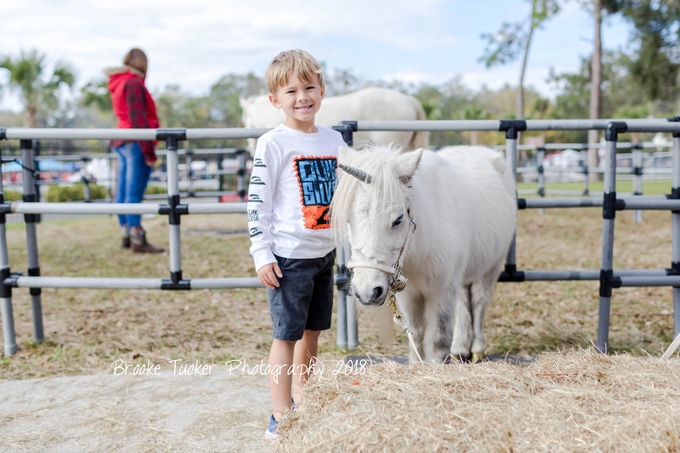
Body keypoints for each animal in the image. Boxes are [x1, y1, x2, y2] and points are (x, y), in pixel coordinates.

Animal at [334, 143, 516, 362]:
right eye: (348, 219)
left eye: (398, 219)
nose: (367, 291)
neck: (419, 251)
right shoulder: (410, 295)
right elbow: (417, 334)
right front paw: (417, 363)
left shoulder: (443, 290)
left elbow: (437, 337)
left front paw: (436, 363)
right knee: (464, 304)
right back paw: (460, 348)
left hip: (490, 270)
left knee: (479, 303)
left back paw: (477, 349)